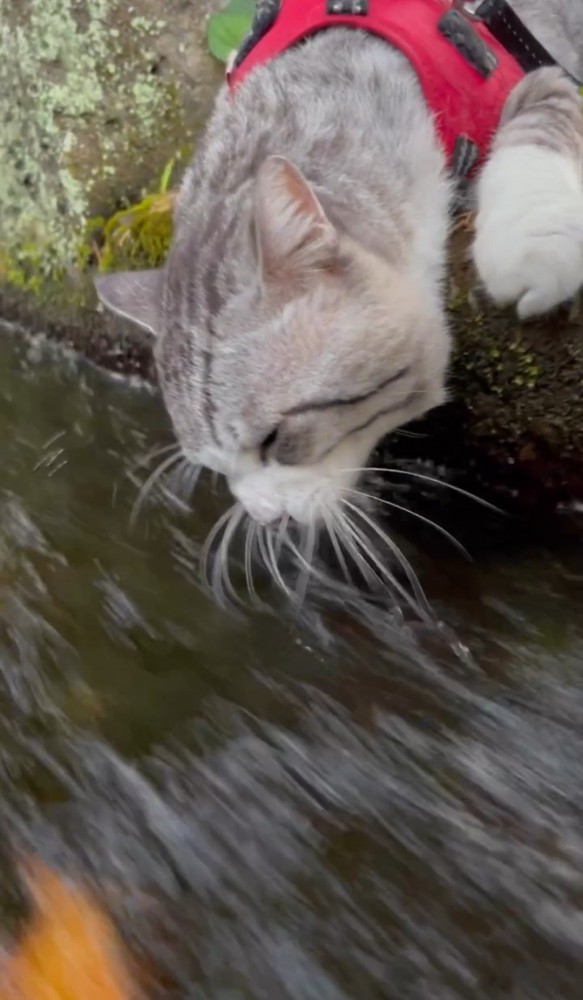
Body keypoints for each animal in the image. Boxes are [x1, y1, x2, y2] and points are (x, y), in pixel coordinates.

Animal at [96, 0, 583, 548]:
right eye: (215, 466)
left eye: (275, 440)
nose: (268, 518)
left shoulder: (543, 70)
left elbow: (544, 118)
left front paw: (532, 242)